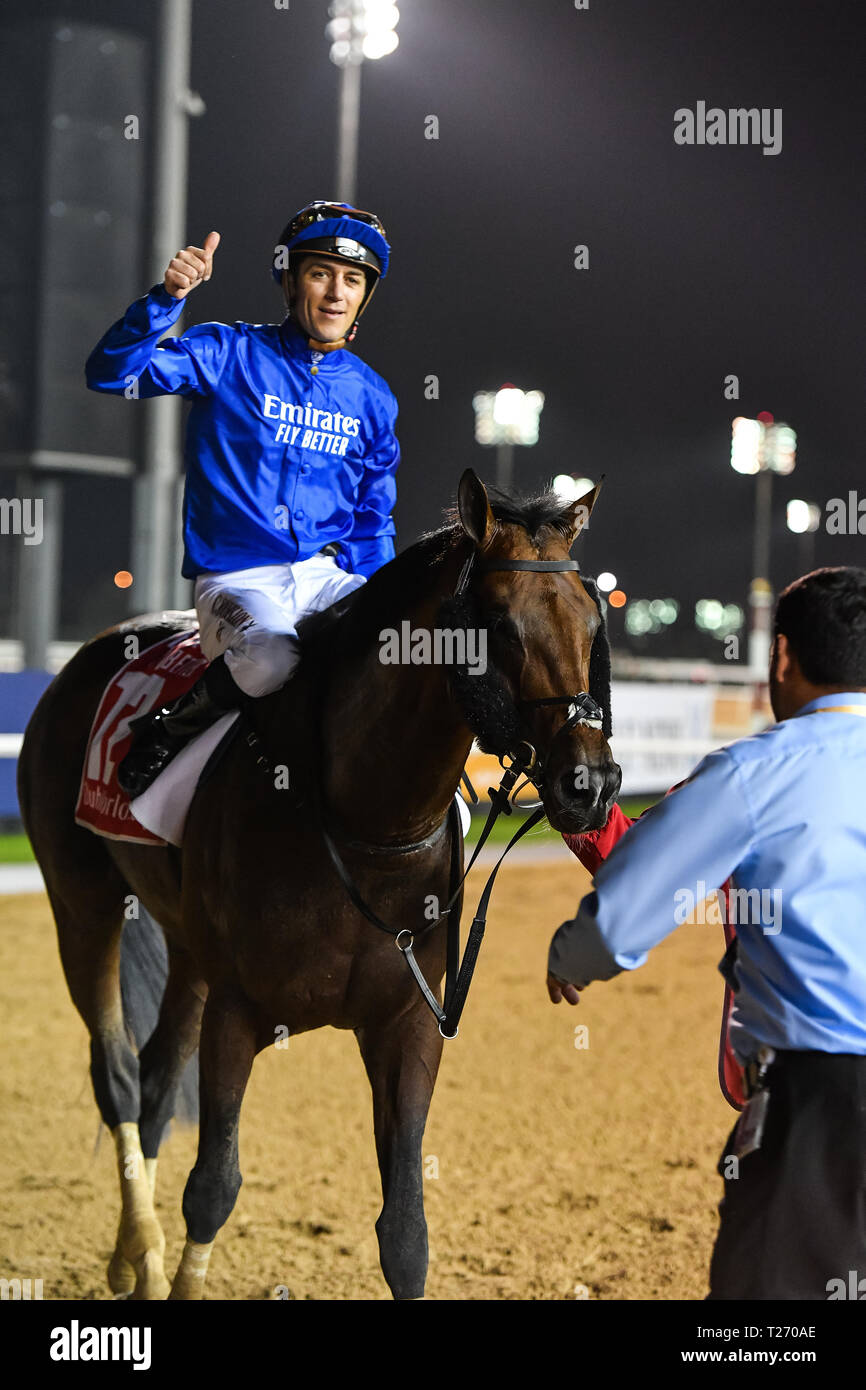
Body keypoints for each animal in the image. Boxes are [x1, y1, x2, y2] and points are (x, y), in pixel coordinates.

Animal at [16, 469, 619, 1301]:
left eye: (592, 619)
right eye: (498, 623)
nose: (588, 784)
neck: (365, 827)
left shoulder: (409, 1023)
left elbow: (406, 1234)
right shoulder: (237, 1013)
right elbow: (213, 1188)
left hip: (185, 944)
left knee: (157, 1076)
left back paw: (136, 1258)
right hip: (83, 901)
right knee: (118, 1076)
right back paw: (139, 1241)